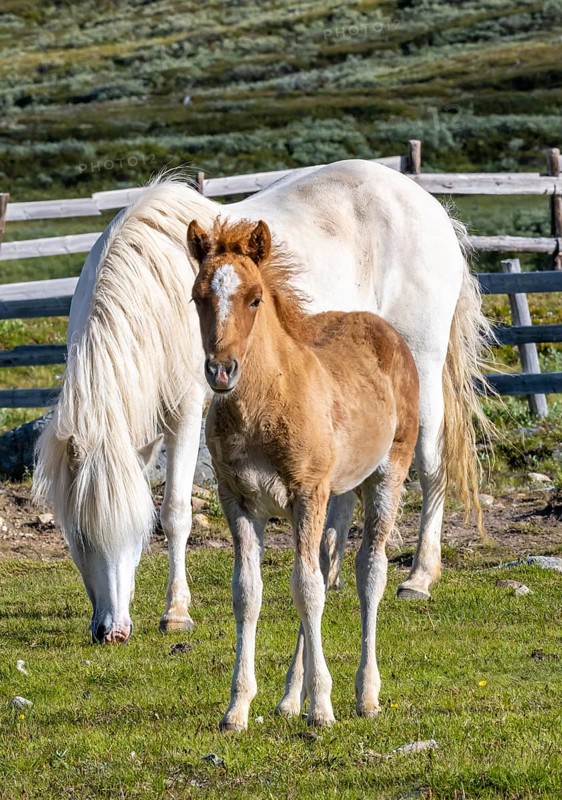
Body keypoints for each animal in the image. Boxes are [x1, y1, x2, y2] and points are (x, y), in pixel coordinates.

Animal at [33, 160, 489, 644]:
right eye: (78, 536)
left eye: (137, 532)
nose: (111, 631)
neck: (150, 297)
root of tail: (430, 207)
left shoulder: (186, 414)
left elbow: (175, 513)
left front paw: (176, 612)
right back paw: (331, 571)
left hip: (423, 371)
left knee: (432, 465)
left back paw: (419, 577)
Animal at [188, 217, 419, 729]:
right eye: (197, 297)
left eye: (254, 298)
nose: (221, 371)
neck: (263, 405)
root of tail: (385, 330)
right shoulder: (238, 500)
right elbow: (248, 593)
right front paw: (237, 708)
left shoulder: (306, 493)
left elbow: (307, 589)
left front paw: (323, 707)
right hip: (340, 492)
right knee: (327, 565)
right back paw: (290, 698)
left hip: (386, 473)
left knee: (367, 571)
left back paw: (365, 695)